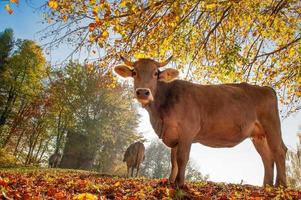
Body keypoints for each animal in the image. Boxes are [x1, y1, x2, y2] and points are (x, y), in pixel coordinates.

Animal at [113, 56, 288, 188]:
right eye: (134, 72)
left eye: (156, 73)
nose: (143, 92)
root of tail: (265, 88)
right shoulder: (174, 135)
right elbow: (173, 161)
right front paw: (170, 182)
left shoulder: (187, 131)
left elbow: (182, 158)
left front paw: (180, 184)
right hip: (258, 135)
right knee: (267, 157)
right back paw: (266, 186)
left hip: (271, 125)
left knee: (279, 151)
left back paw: (280, 185)